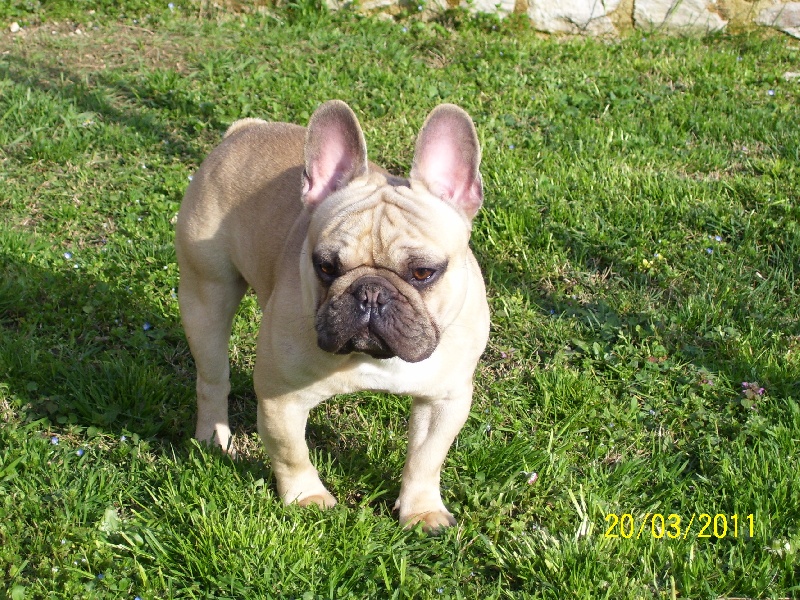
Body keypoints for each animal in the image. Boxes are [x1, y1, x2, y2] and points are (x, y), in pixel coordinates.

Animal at [175, 100, 489, 531]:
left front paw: (422, 510)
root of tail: (245, 130)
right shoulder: (280, 398)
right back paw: (213, 438)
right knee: (212, 378)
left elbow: (426, 459)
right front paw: (306, 497)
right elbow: (291, 453)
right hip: (206, 295)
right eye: (325, 267)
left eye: (424, 272)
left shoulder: (443, 400)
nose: (370, 292)